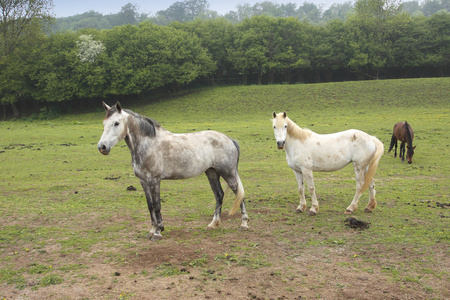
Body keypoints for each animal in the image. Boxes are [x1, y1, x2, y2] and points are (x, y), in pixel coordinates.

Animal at [97, 102, 250, 240]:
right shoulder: (143, 181)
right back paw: (213, 224)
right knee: (219, 195)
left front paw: (158, 232)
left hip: (228, 173)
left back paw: (244, 224)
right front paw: (152, 230)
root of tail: (229, 139)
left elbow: (157, 205)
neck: (148, 144)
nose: (102, 147)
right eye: (104, 123)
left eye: (116, 123)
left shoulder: (154, 180)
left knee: (239, 195)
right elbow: (150, 206)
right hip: (212, 173)